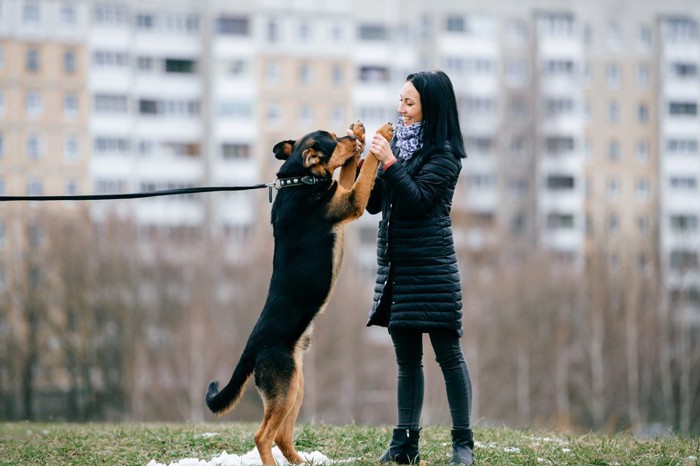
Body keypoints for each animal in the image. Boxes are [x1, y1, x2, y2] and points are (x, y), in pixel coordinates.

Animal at [206, 122, 394, 464]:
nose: (354, 131)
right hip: (284, 389)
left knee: (281, 435)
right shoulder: (350, 202)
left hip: (296, 386)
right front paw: (381, 137)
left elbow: (349, 172)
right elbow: (366, 170)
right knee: (263, 435)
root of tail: (251, 348)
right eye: (333, 140)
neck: (298, 180)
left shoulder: (341, 191)